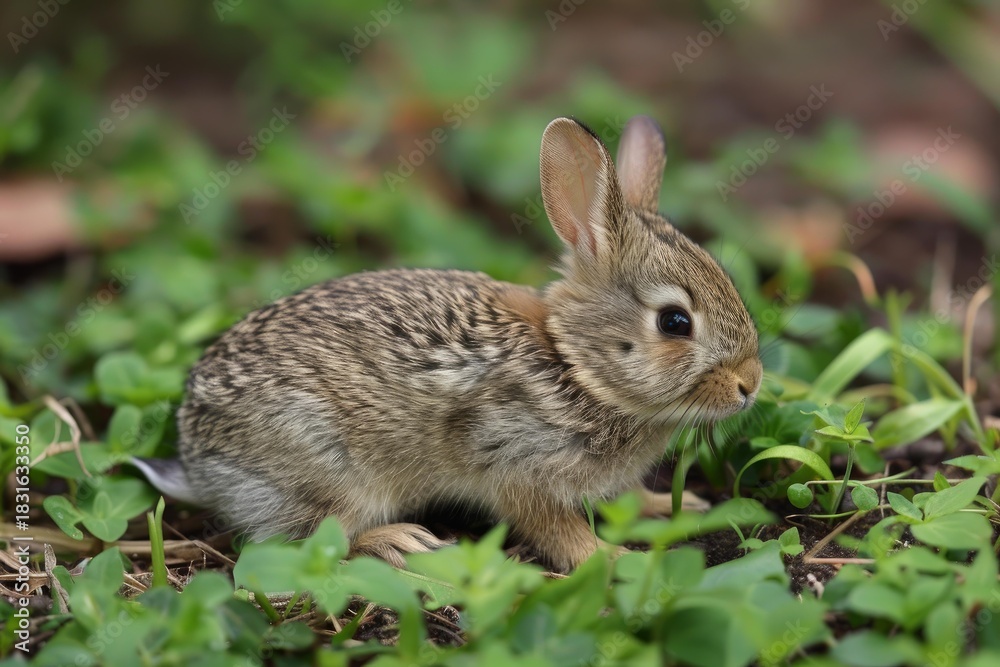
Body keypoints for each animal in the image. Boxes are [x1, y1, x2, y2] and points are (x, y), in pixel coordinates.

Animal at [137, 115, 762, 573]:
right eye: (675, 322)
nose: (749, 385)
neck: (577, 366)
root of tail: (199, 457)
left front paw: (675, 508)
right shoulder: (519, 468)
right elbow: (557, 530)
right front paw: (609, 557)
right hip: (327, 466)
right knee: (317, 536)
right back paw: (399, 540)